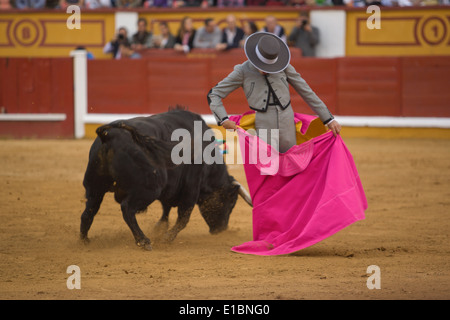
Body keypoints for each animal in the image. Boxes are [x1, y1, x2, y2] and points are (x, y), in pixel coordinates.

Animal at [80, 109, 253, 250]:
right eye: (231, 202)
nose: (221, 229)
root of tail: (109, 136)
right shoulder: (192, 187)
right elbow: (183, 217)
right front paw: (167, 238)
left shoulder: (171, 187)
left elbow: (166, 209)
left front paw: (160, 229)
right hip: (148, 189)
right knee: (127, 209)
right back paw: (143, 241)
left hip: (94, 187)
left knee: (89, 211)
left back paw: (84, 240)